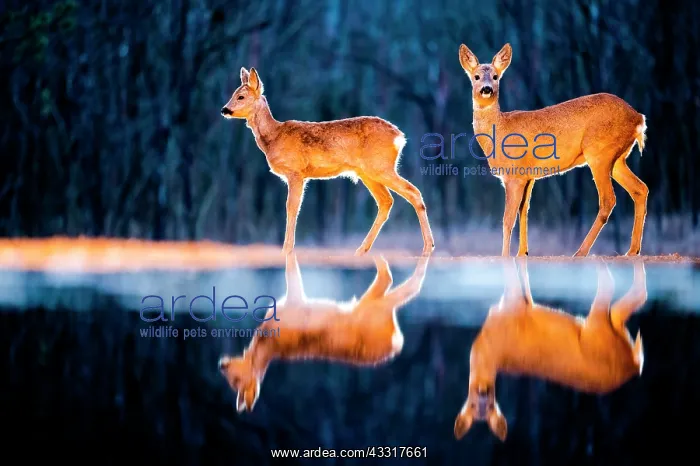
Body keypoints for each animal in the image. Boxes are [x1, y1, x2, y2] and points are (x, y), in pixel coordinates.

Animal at [218, 252, 430, 412]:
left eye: (236, 380)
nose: (221, 365)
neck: (265, 343)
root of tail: (396, 343)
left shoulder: (294, 300)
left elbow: (291, 268)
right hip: (375, 307)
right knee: (396, 283)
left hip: (372, 307)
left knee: (392, 278)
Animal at [221, 67, 435, 256]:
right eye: (234, 93)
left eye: (241, 96)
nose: (225, 109)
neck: (274, 136)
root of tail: (399, 136)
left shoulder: (296, 172)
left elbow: (291, 207)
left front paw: (286, 249)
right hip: (368, 172)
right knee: (386, 201)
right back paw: (361, 250)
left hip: (380, 167)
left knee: (412, 192)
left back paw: (427, 247)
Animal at [454, 258, 645, 442]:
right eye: (472, 405)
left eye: (491, 404)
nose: (483, 391)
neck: (488, 349)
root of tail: (634, 366)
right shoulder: (517, 305)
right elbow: (525, 285)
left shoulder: (513, 306)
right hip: (609, 329)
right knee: (633, 298)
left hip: (597, 331)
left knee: (612, 285)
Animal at [458, 43, 649, 257]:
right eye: (476, 76)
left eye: (495, 76)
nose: (486, 89)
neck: (499, 130)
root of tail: (638, 118)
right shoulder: (529, 176)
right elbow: (524, 211)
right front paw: (522, 253)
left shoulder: (514, 175)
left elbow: (508, 219)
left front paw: (505, 256)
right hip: (617, 159)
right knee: (640, 189)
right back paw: (632, 250)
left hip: (599, 153)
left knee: (608, 199)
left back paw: (580, 252)